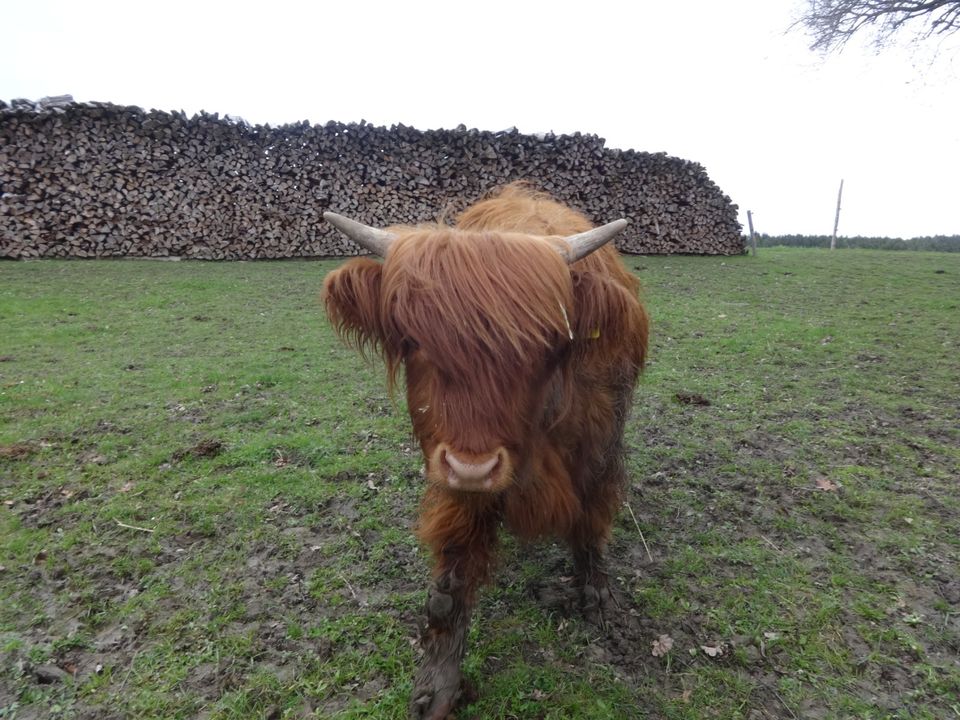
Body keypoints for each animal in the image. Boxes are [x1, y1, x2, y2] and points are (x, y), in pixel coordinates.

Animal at [324, 183, 652, 716]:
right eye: (412, 340)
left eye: (545, 343)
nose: (473, 467)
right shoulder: (457, 480)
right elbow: (451, 581)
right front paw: (438, 684)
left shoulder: (599, 454)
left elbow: (590, 524)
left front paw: (597, 595)